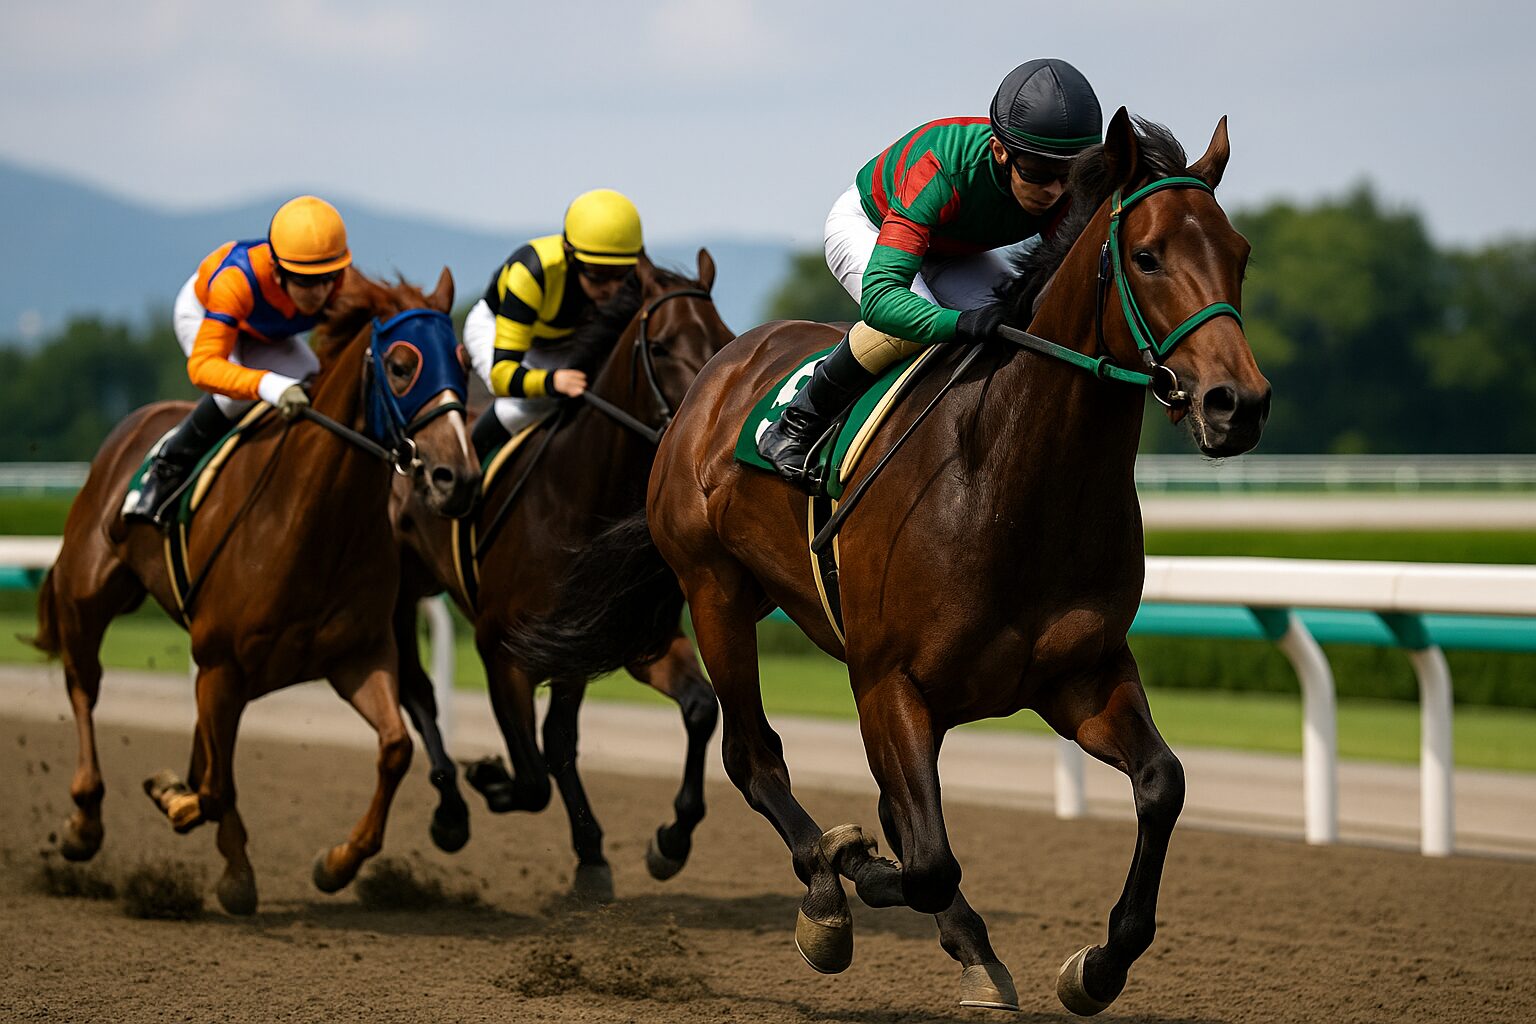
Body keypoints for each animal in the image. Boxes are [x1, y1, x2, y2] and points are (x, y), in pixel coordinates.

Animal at [31, 269, 481, 915]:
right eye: (400, 365)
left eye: (465, 364)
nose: (458, 479)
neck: (311, 520)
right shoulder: (223, 665)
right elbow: (218, 786)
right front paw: (223, 857)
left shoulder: (357, 656)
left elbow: (395, 748)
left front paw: (336, 863)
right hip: (86, 597)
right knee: (83, 687)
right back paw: (84, 823)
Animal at [389, 251, 732, 901]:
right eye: (663, 345)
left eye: (724, 340)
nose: (707, 435)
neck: (579, 499)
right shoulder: (500, 648)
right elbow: (532, 773)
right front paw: (492, 780)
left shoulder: (616, 638)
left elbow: (694, 711)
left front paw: (663, 843)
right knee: (412, 686)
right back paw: (449, 810)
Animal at [505, 109, 1270, 1014]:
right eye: (1147, 255)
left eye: (1240, 254)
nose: (1238, 404)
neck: (1011, 483)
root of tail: (714, 376)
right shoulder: (888, 683)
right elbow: (928, 859)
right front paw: (853, 874)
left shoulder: (1080, 677)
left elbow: (1162, 783)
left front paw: (1097, 964)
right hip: (714, 590)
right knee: (751, 756)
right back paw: (820, 887)